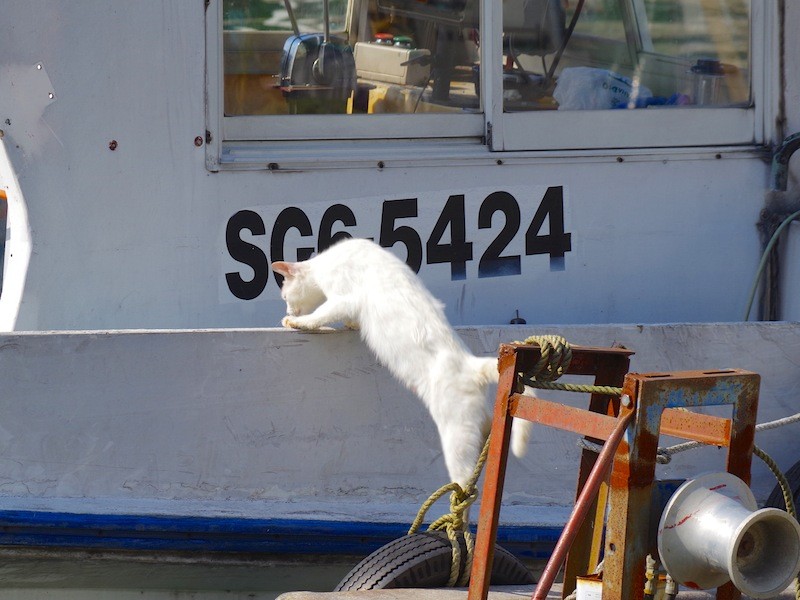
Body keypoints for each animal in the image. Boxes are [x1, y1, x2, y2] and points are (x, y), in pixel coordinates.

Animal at [270, 237, 532, 490]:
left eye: (284, 297)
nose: (287, 309)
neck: (325, 262)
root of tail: (470, 365)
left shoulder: (343, 299)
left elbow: (320, 316)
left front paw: (296, 322)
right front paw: (351, 324)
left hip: (456, 433)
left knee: (465, 483)